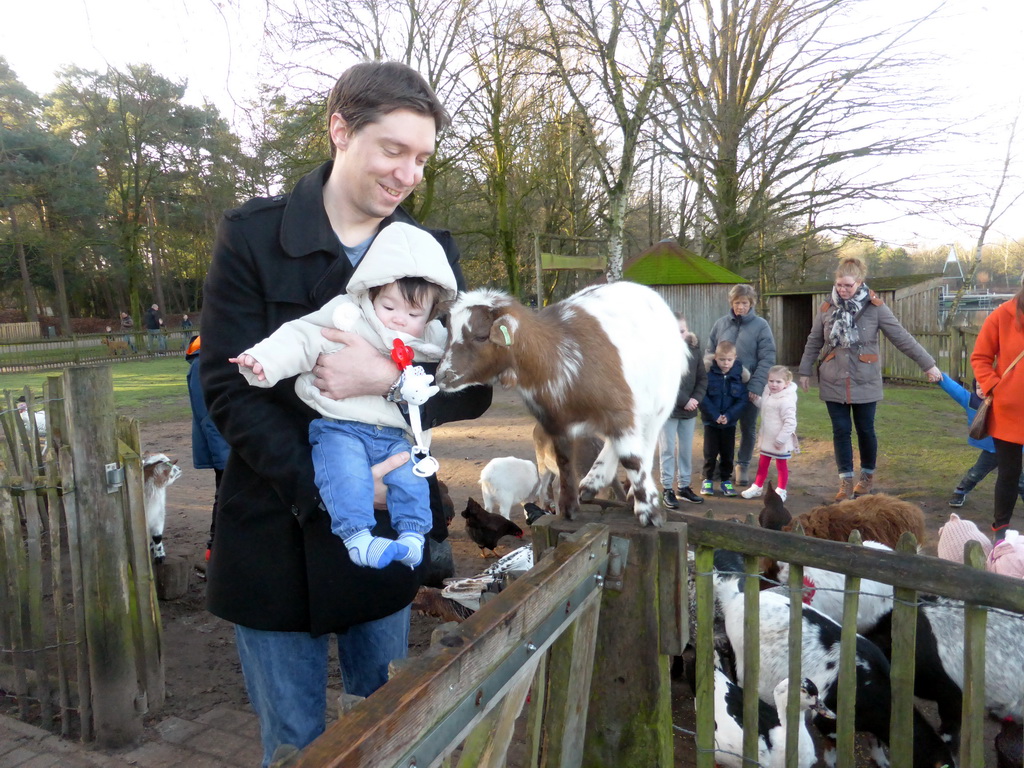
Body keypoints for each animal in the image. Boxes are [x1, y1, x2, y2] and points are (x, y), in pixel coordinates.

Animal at [434, 282, 684, 528]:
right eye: (449, 333)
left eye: (481, 336)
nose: (441, 376)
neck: (555, 359)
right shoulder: (554, 420)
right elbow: (564, 460)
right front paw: (568, 508)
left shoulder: (619, 410)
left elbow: (632, 458)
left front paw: (649, 513)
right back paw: (591, 483)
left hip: (661, 399)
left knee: (646, 442)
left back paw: (629, 494)